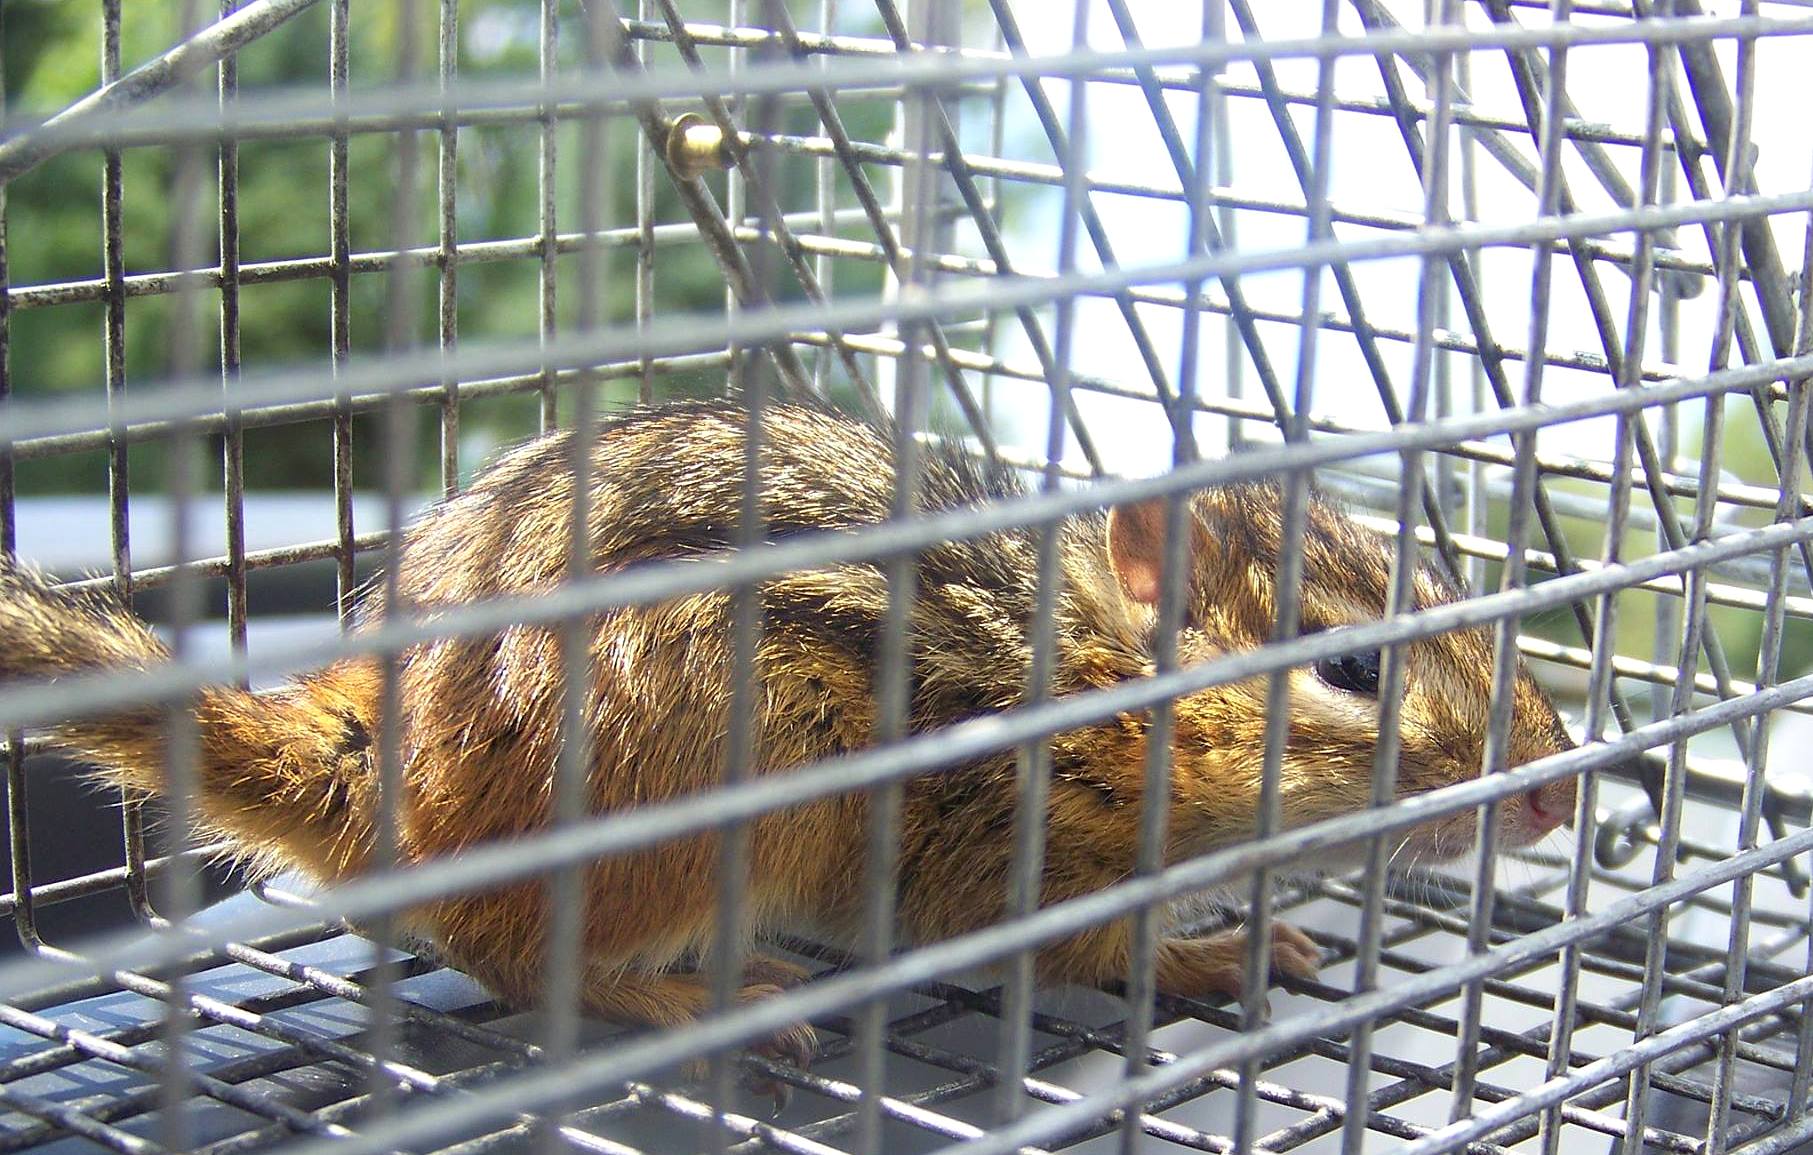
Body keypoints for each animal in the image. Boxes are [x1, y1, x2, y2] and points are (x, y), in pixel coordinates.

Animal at [0, 399, 1576, 1070]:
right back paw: (696, 998)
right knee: (510, 953)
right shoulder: (1006, 853)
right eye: (1353, 669)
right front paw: (1205, 949)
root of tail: (386, 772)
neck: (1089, 685)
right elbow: (1074, 951)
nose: (1558, 800)